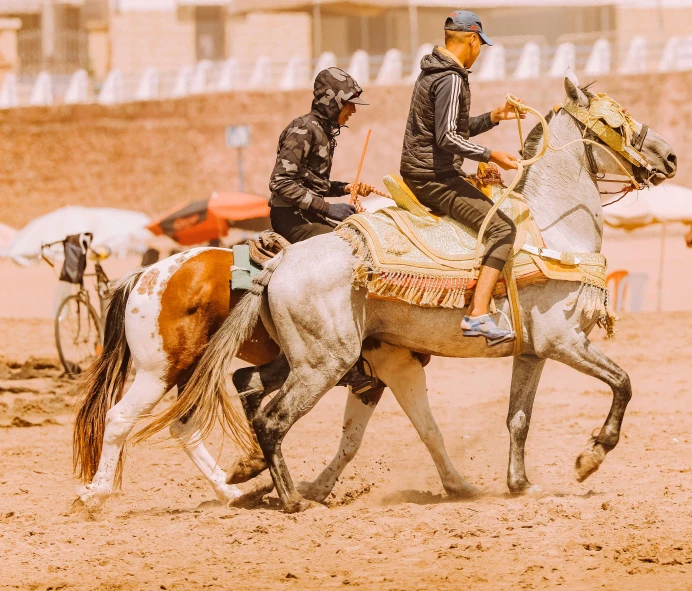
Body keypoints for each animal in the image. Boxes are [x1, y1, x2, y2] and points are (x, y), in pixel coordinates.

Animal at [138, 71, 680, 512]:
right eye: (614, 122)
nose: (671, 156)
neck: (549, 231)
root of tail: (279, 263)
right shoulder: (565, 342)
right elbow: (623, 383)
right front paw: (591, 455)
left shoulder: (533, 351)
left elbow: (518, 418)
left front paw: (521, 484)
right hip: (323, 363)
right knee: (273, 419)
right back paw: (291, 500)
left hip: (305, 358)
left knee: (249, 385)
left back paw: (256, 475)